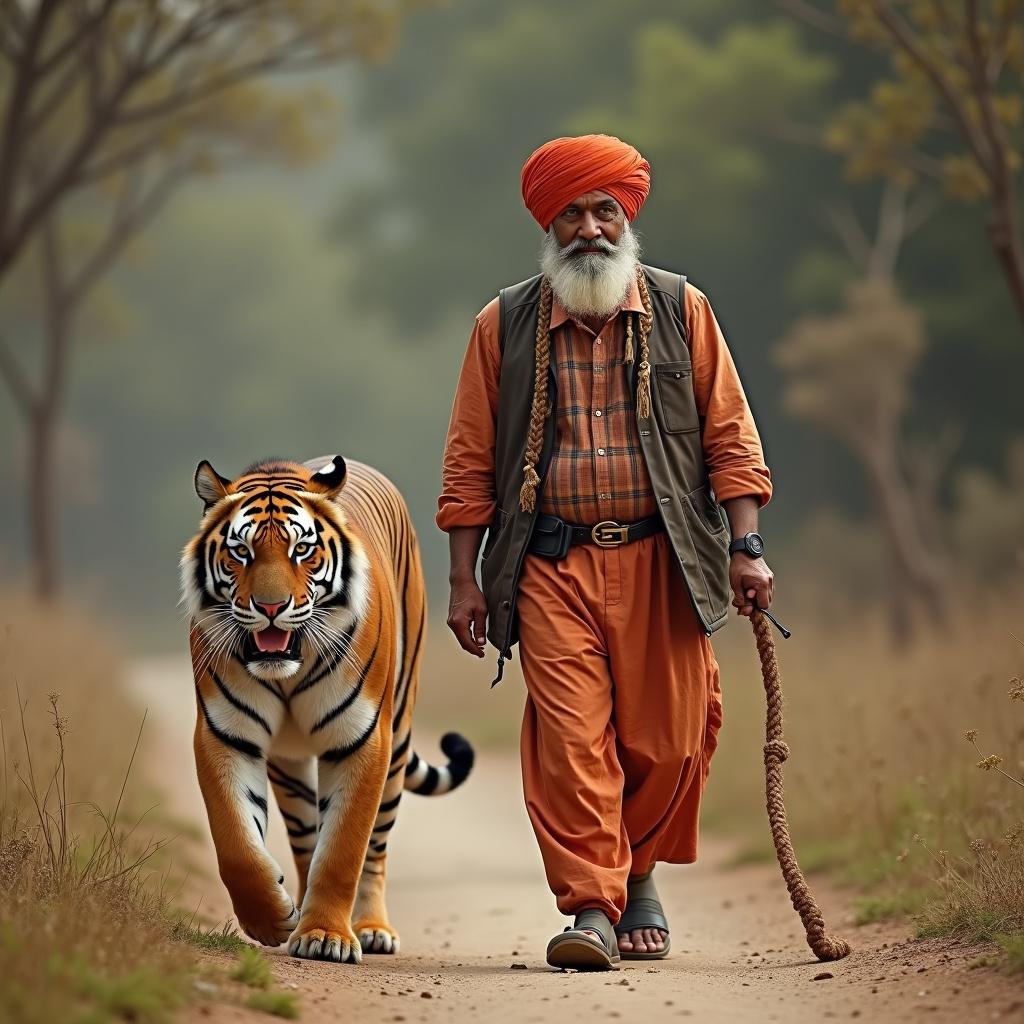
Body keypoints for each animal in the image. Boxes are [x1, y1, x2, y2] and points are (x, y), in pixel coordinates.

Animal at [181, 452, 475, 962]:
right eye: (241, 552)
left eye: (301, 550)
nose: (271, 607)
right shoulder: (225, 734)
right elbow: (237, 845)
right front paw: (272, 919)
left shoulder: (362, 738)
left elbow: (343, 850)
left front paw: (326, 936)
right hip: (289, 765)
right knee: (304, 840)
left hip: (397, 737)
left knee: (375, 847)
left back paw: (372, 928)